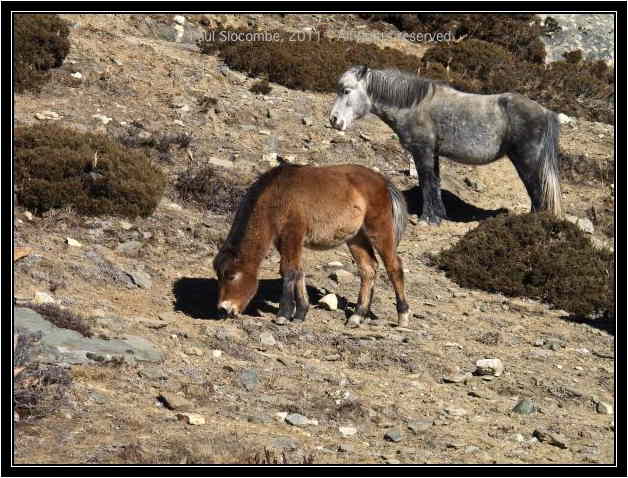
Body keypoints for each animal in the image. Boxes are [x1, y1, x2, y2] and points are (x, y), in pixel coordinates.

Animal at [213, 164, 412, 328]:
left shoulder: (292, 234)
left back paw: (403, 316)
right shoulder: (284, 240)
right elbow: (298, 271)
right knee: (368, 269)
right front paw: (300, 313)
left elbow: (288, 271)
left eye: (231, 276)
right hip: (356, 237)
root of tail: (382, 181)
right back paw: (357, 316)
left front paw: (283, 315)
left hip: (379, 229)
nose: (223, 309)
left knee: (393, 266)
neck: (277, 194)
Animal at [328, 64, 564, 226]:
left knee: (537, 191)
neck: (414, 105)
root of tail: (546, 112)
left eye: (346, 91)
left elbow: (426, 182)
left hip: (527, 162)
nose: (334, 120)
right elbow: (435, 182)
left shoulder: (422, 151)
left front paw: (428, 218)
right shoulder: (433, 153)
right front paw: (439, 215)